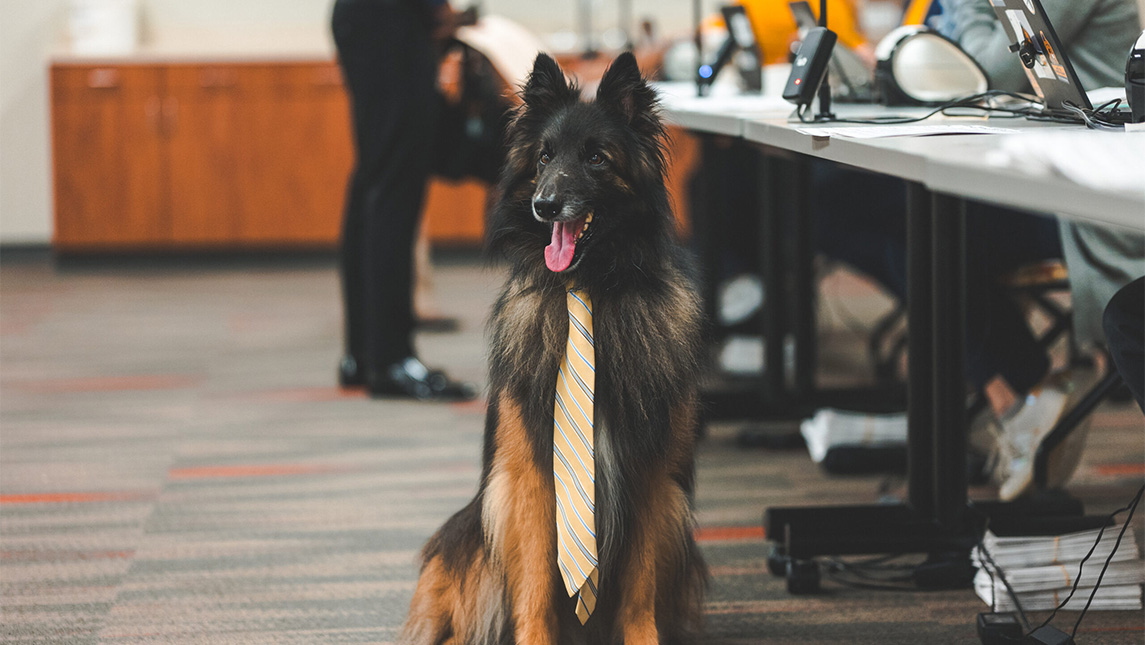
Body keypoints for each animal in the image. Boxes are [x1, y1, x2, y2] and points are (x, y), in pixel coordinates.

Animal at [403, 52, 705, 645]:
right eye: (544, 156)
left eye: (596, 158)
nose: (546, 205)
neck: (585, 287)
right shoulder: (533, 482)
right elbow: (540, 586)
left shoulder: (651, 479)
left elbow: (638, 589)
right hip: (468, 545)